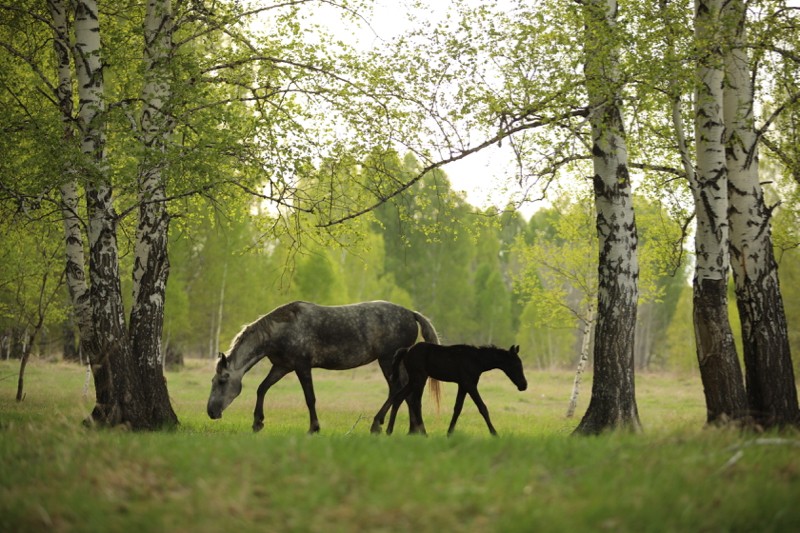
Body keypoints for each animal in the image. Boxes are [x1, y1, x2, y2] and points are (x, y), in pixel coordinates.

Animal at [206, 300, 438, 432]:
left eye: (222, 381)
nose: (211, 412)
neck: (281, 330)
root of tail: (411, 313)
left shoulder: (302, 366)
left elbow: (310, 398)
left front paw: (314, 428)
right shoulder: (282, 367)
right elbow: (262, 388)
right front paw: (257, 423)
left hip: (388, 360)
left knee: (397, 390)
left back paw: (377, 424)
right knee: (409, 394)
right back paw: (415, 430)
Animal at [376, 342, 532, 434]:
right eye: (516, 365)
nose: (523, 385)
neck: (477, 360)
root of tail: (407, 350)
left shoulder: (462, 385)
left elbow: (458, 408)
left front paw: (449, 433)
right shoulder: (470, 384)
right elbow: (482, 407)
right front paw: (495, 433)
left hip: (413, 380)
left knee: (399, 397)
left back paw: (389, 430)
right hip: (420, 378)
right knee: (415, 402)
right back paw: (424, 433)